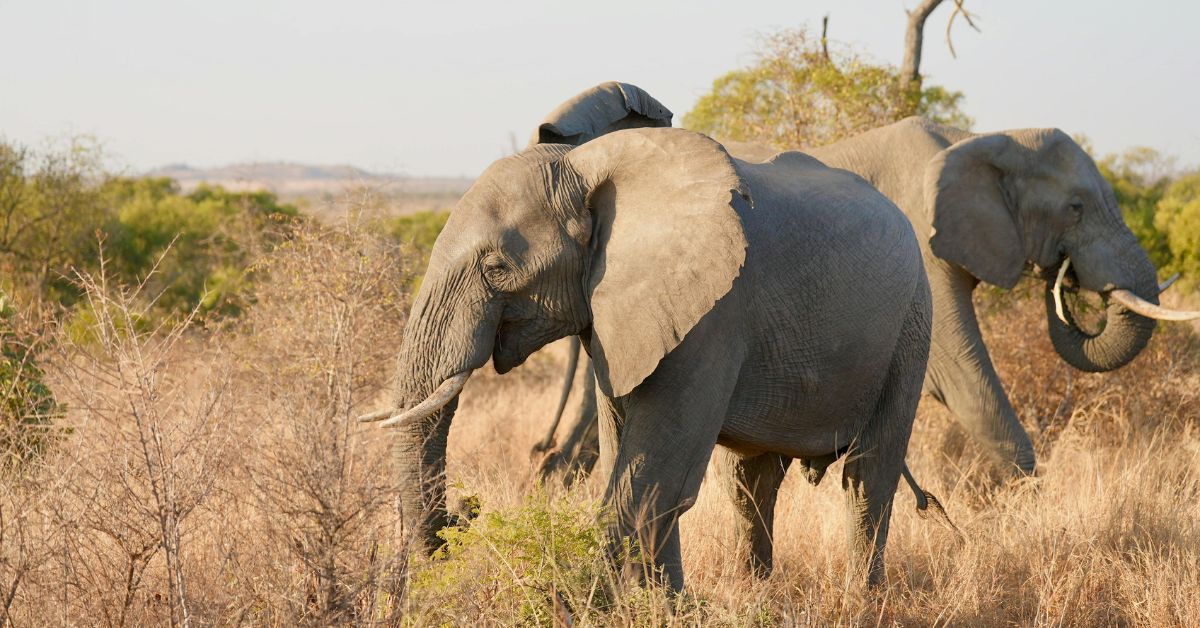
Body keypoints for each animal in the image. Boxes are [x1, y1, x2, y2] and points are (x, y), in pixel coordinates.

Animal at [360, 126, 938, 590]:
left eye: (496, 266)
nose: (467, 511)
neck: (583, 167)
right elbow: (634, 461)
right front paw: (667, 605)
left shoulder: (715, 314)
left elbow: (653, 482)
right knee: (751, 484)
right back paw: (759, 592)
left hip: (912, 321)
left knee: (867, 478)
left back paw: (862, 599)